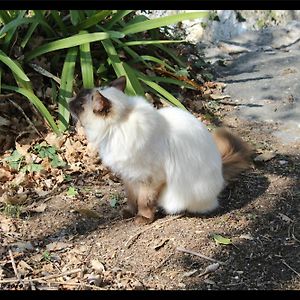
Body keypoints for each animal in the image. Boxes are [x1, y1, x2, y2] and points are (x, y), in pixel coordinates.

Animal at [69, 76, 252, 224]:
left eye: (79, 103)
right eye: (77, 98)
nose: (68, 100)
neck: (117, 127)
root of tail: (221, 169)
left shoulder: (150, 178)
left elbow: (145, 201)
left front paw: (143, 218)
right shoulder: (129, 175)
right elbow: (132, 197)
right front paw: (129, 212)